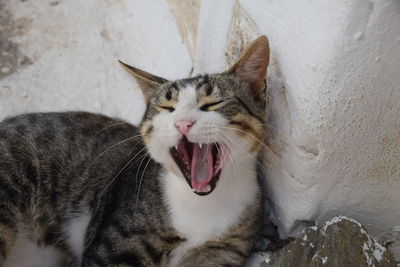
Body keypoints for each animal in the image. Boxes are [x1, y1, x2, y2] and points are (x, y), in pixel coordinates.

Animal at [0, 36, 270, 267]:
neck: (203, 204)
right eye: (167, 108)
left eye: (212, 103)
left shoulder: (223, 251)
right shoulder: (112, 248)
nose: (183, 123)